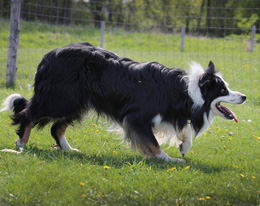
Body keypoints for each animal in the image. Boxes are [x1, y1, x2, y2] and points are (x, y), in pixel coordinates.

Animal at [0, 42, 246, 162]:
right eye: (223, 89)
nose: (244, 96)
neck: (189, 91)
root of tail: (49, 55)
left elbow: (181, 129)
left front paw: (184, 146)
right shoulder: (137, 117)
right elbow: (152, 142)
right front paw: (167, 159)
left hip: (78, 102)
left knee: (56, 127)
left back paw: (69, 149)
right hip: (60, 99)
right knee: (28, 114)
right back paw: (21, 144)